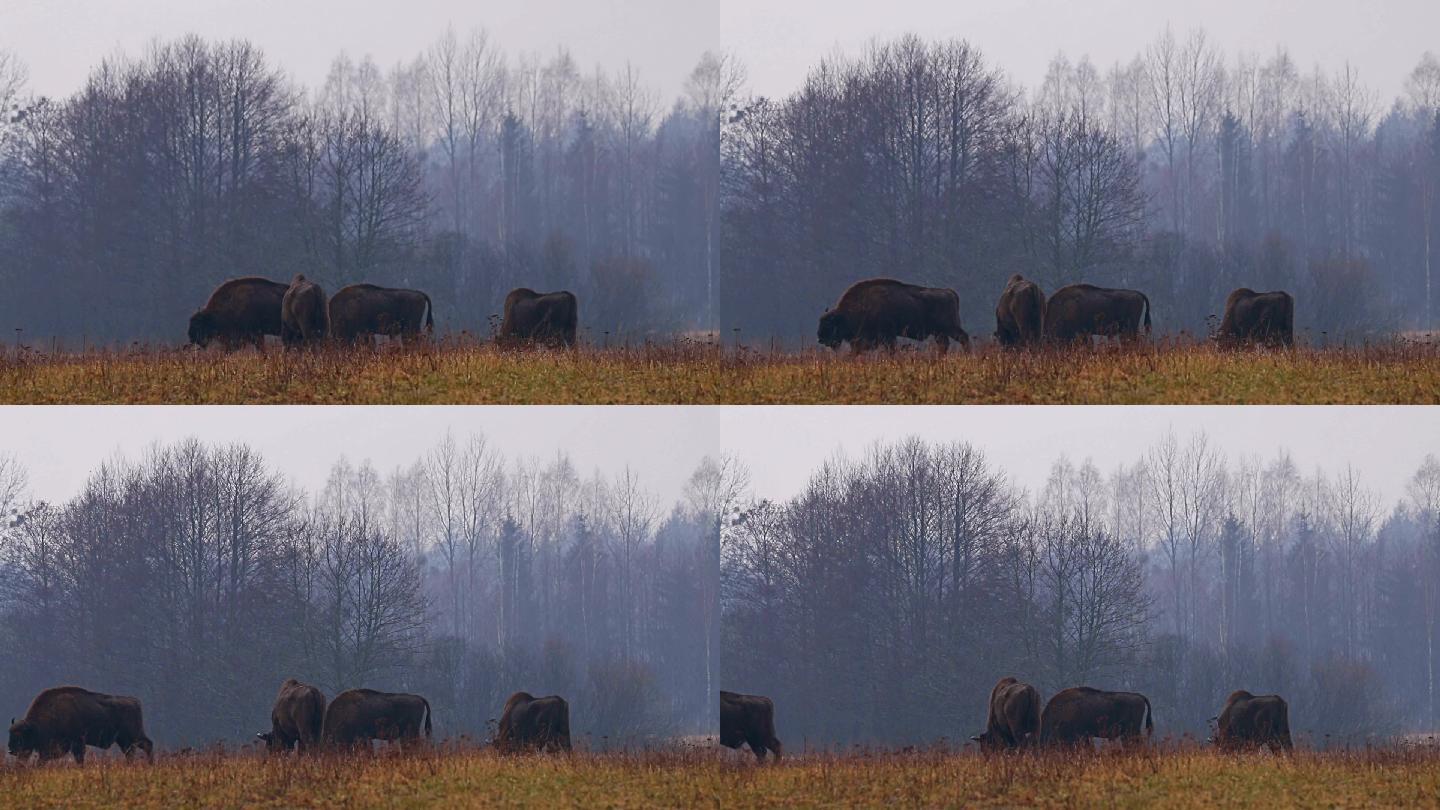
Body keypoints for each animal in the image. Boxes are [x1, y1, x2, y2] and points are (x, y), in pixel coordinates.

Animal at [6, 683, 154, 760]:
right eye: (10, 733)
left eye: (20, 736)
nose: (11, 750)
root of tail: (134, 701)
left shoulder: (76, 742)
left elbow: (79, 758)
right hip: (124, 740)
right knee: (131, 753)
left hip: (133, 735)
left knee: (147, 745)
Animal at [817, 276, 973, 353]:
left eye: (828, 324)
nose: (820, 338)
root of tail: (949, 292)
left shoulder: (887, 336)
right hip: (939, 332)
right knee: (944, 345)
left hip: (949, 328)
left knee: (963, 338)